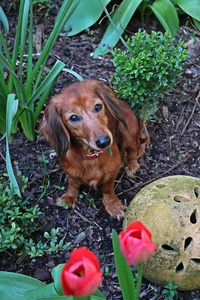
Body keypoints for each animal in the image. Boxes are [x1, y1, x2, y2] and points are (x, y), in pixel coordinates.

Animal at [39, 79, 148, 219]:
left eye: (97, 107)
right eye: (73, 117)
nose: (105, 141)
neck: (91, 156)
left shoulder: (112, 172)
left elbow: (107, 189)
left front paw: (113, 205)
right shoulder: (70, 171)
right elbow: (73, 184)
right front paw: (69, 197)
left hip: (127, 131)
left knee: (133, 149)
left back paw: (132, 165)